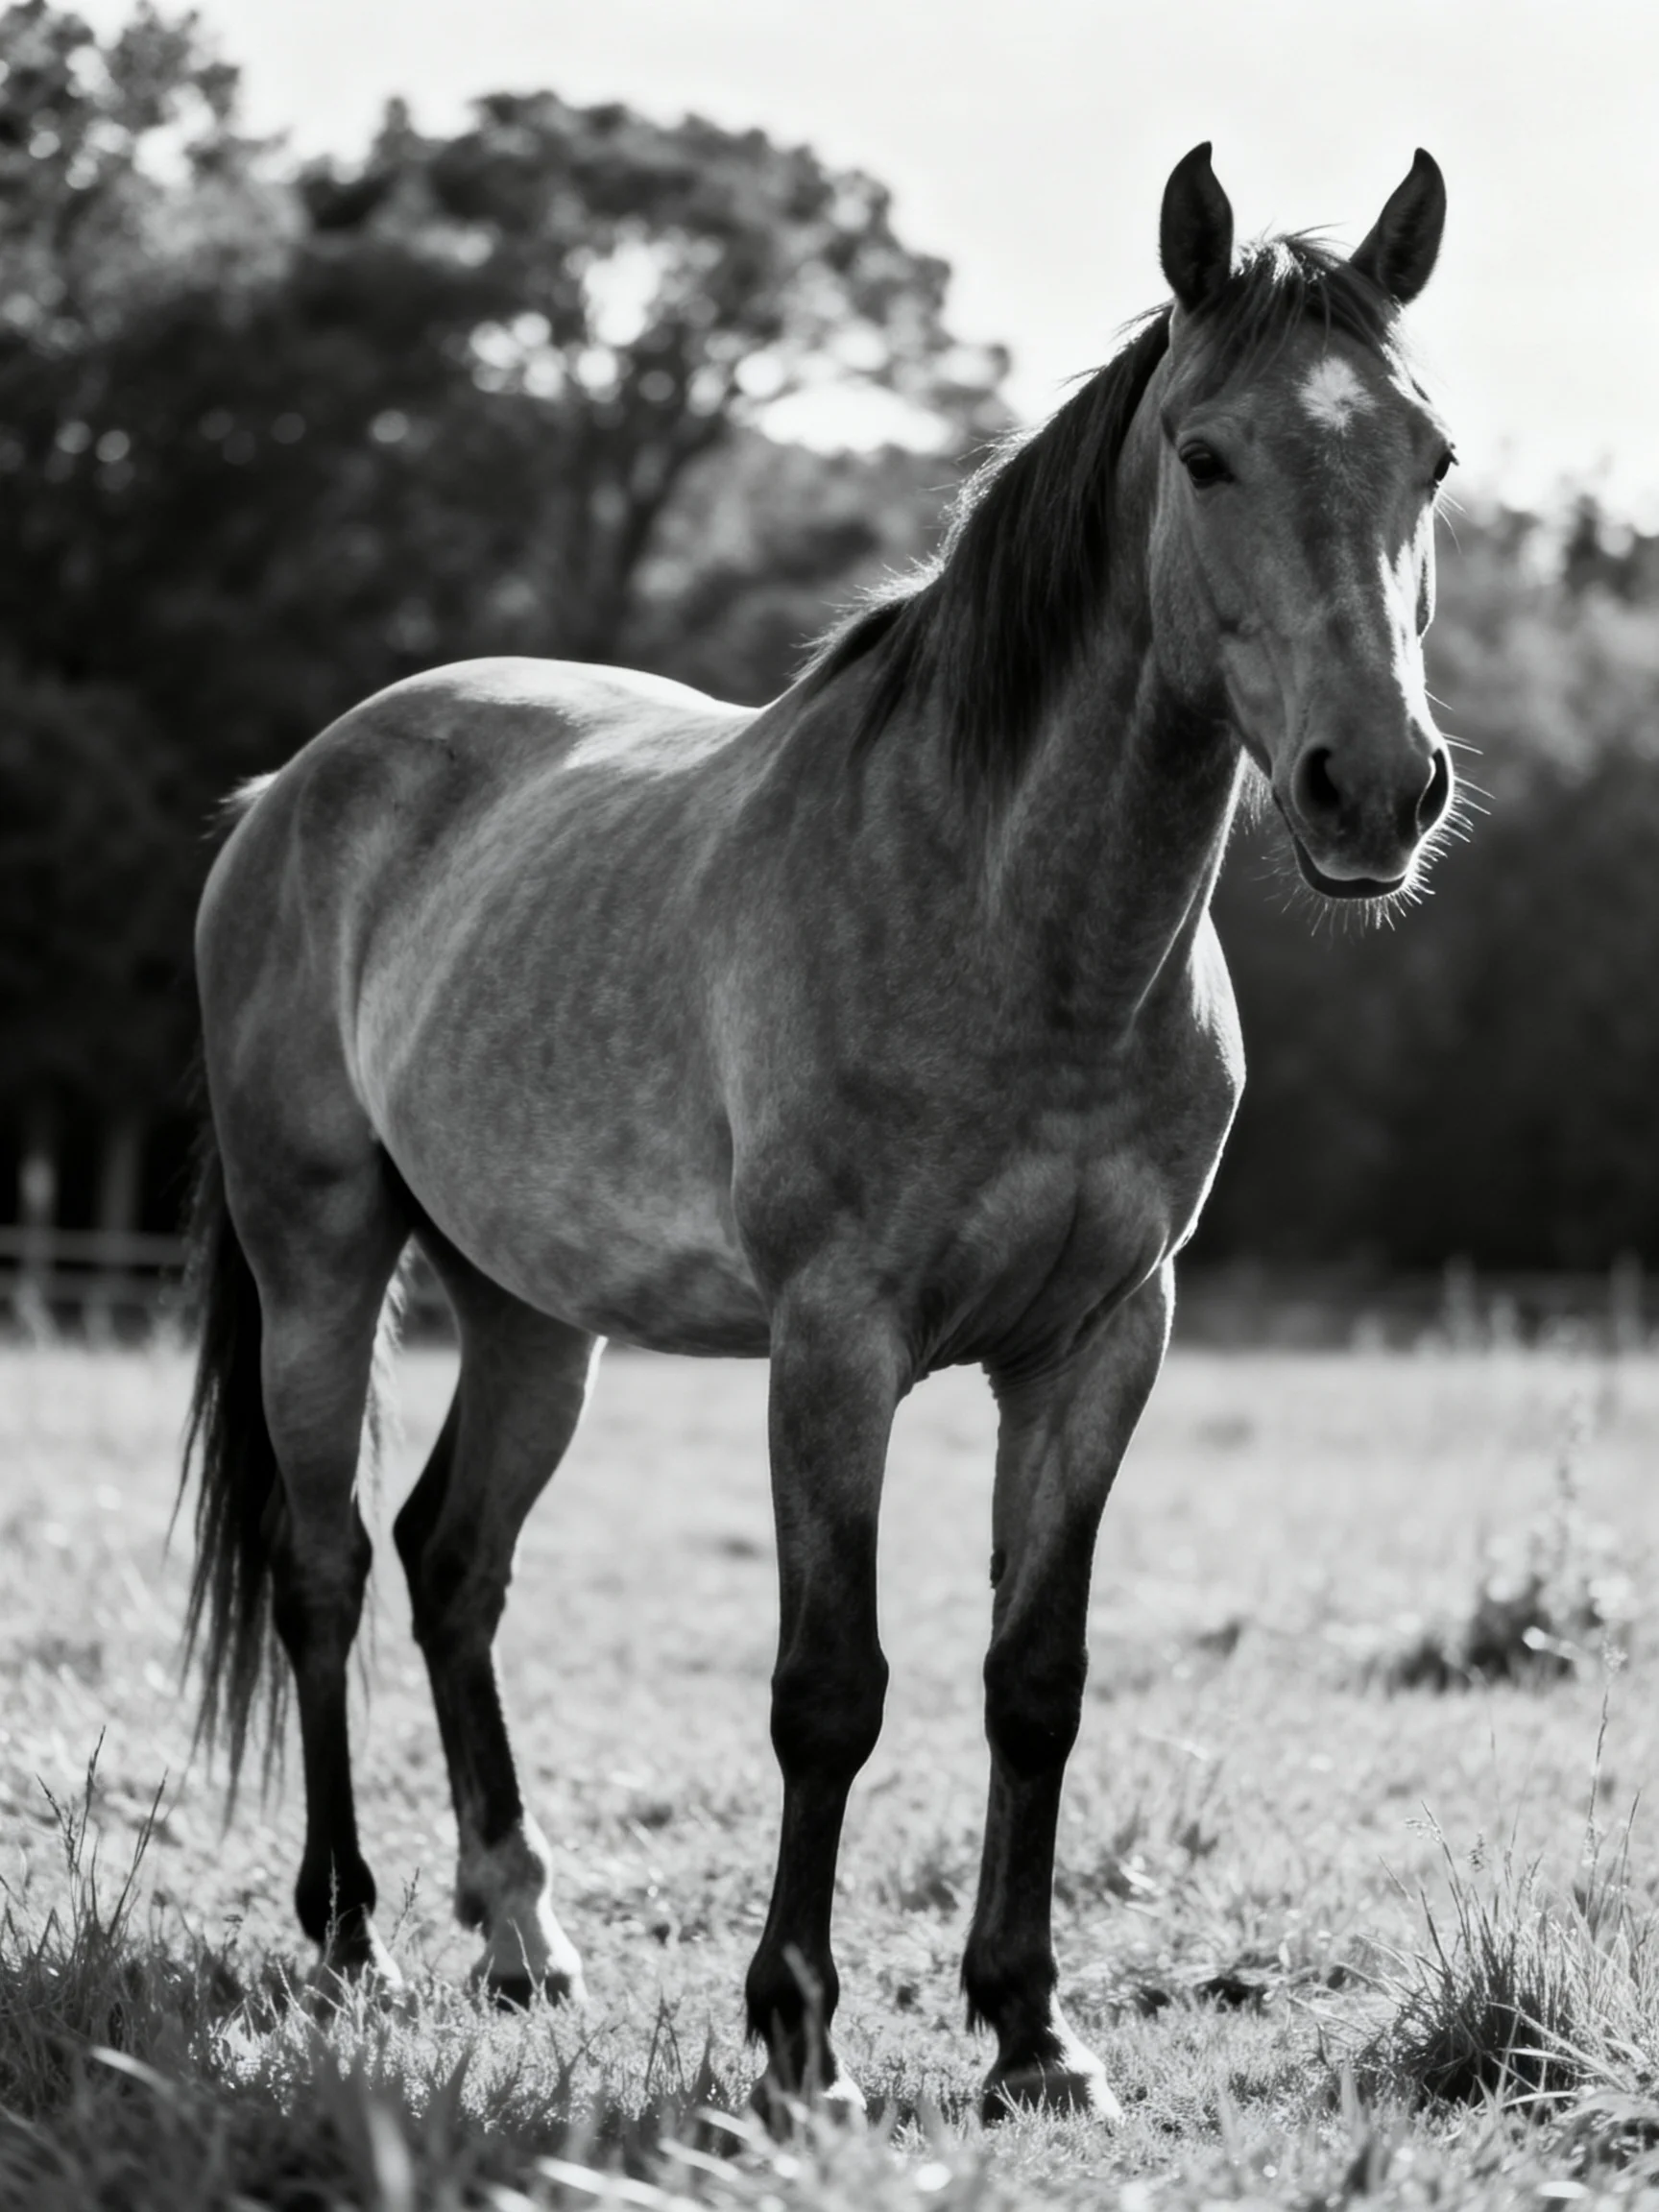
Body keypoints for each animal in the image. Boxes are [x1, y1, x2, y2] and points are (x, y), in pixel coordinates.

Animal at [181, 143, 1455, 2122]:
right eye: (1205, 454)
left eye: (1430, 459)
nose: (1373, 791)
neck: (1017, 926)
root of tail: (291, 787)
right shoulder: (835, 1338)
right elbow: (827, 1685)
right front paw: (796, 2035)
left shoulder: (1104, 1337)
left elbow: (1033, 1674)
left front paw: (1030, 2028)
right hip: (319, 1257)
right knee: (325, 1571)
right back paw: (349, 1927)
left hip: (535, 1312)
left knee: (452, 1560)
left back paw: (520, 1929)